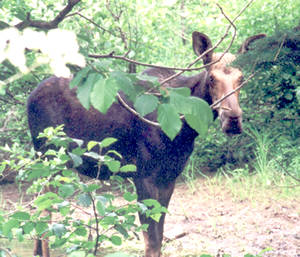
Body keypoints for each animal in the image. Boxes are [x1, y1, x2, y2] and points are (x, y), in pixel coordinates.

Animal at [27, 32, 264, 256]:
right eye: (212, 78)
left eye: (242, 78)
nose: (233, 119)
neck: (185, 129)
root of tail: (30, 98)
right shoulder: (143, 176)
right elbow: (152, 242)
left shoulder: (170, 177)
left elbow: (159, 236)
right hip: (51, 159)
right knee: (45, 215)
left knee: (37, 210)